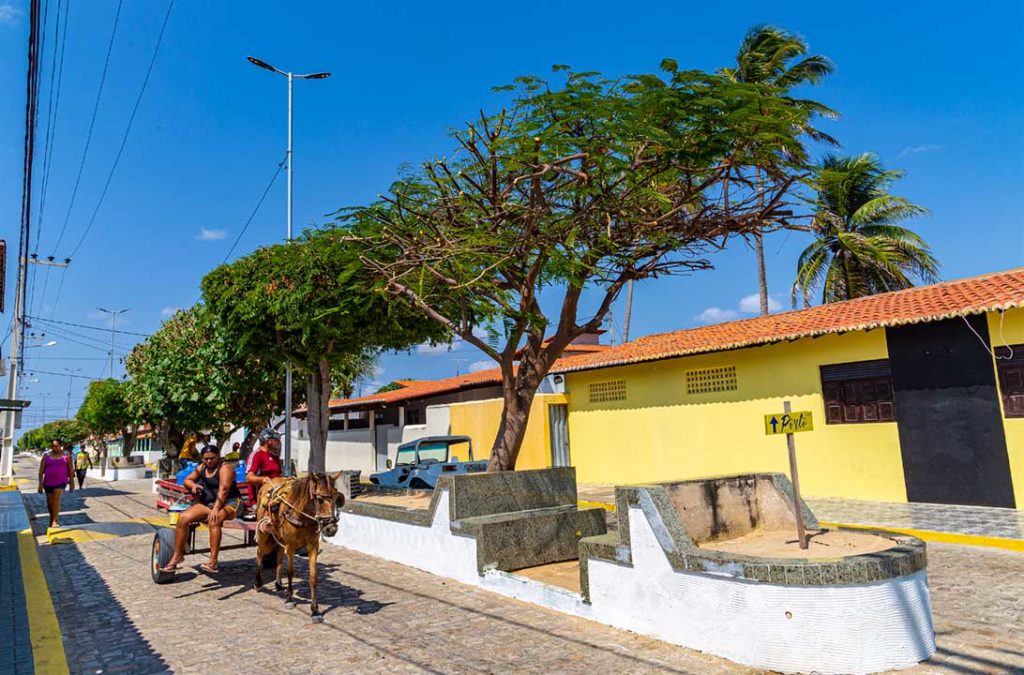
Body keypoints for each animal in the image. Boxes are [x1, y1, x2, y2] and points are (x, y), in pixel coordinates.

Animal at [251, 469, 344, 622]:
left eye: (337, 498)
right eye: (319, 499)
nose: (331, 528)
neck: (303, 515)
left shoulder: (313, 545)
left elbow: (313, 576)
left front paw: (315, 610)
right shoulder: (291, 545)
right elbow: (290, 572)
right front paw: (289, 599)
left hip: (278, 536)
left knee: (278, 557)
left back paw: (278, 584)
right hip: (264, 532)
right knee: (260, 554)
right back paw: (258, 583)